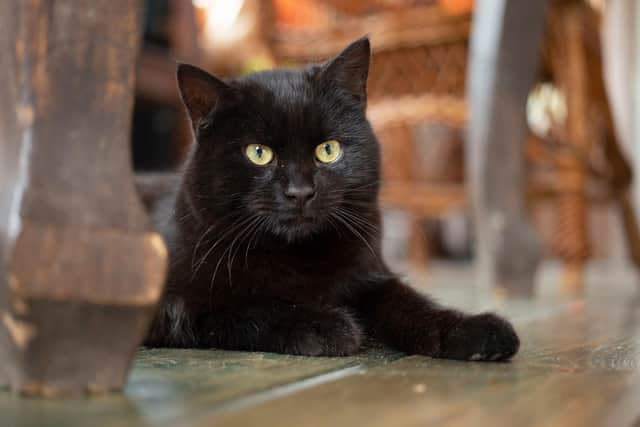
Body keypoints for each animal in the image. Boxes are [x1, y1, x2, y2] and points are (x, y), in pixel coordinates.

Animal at [145, 38, 520, 362]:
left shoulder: (371, 276)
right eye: (258, 153)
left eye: (328, 150)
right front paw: (327, 326)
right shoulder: (176, 304)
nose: (300, 192)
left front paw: (473, 330)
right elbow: (251, 306)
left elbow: (411, 304)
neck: (299, 257)